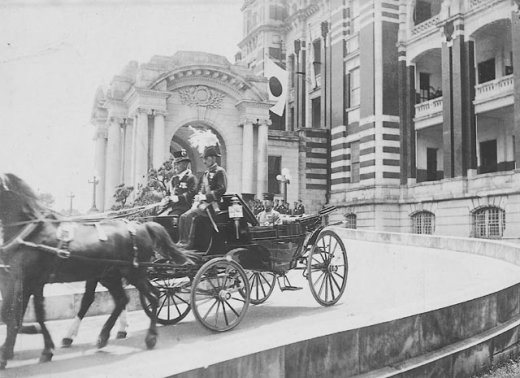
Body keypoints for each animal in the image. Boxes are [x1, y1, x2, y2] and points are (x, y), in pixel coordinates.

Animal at [0, 174, 193, 370]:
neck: (32, 230)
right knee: (122, 299)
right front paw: (16, 348)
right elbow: (18, 314)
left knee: (152, 296)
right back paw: (104, 336)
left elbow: (22, 315)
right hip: (111, 275)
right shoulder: (24, 281)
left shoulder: (31, 280)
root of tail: (142, 226)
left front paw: (28, 346)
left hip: (133, 273)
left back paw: (150, 336)